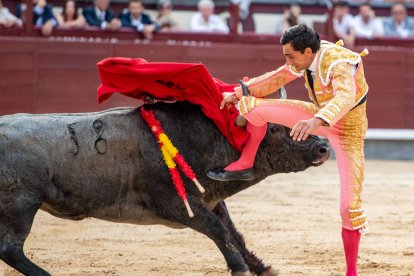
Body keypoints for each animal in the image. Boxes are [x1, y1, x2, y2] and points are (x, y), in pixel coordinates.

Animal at [0, 102, 330, 276]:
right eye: (274, 129)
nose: (324, 147)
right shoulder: (176, 204)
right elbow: (218, 231)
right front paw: (239, 267)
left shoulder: (210, 200)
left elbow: (233, 233)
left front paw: (262, 267)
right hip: (22, 205)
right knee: (10, 248)